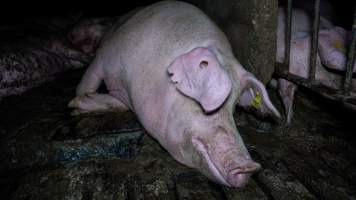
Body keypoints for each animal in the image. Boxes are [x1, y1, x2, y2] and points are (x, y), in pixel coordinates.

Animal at [69, 0, 280, 188]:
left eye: (235, 106)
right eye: (204, 102)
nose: (250, 167)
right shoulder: (107, 54)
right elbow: (87, 82)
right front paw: (75, 105)